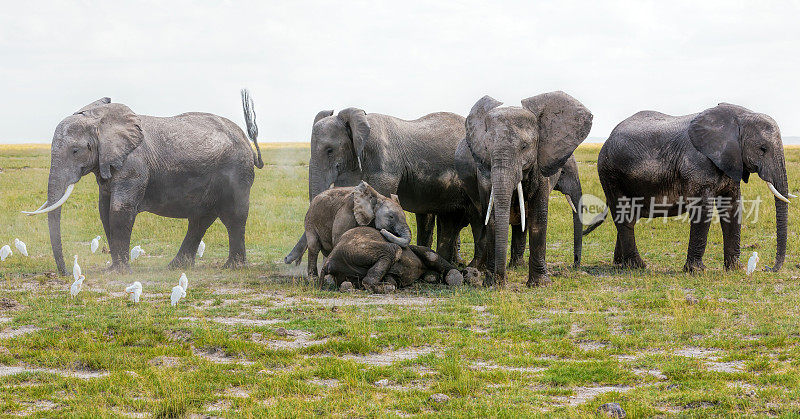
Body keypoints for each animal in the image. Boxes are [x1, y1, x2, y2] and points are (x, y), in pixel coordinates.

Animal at [21, 91, 264, 276]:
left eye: (75, 151)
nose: (64, 273)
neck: (101, 121)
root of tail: (246, 140)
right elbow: (104, 210)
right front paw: (113, 269)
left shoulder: (134, 165)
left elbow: (119, 209)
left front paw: (120, 273)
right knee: (200, 219)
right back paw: (176, 267)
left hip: (238, 170)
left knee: (233, 215)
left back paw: (232, 267)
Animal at [456, 92, 592, 288]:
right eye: (487, 148)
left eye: (525, 147)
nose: (501, 282)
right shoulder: (483, 172)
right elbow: (492, 218)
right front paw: (490, 283)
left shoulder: (540, 166)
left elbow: (538, 217)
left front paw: (540, 284)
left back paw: (514, 267)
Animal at [592, 102, 788, 272]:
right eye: (762, 149)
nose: (768, 268)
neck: (739, 117)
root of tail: (609, 137)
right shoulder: (697, 164)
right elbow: (703, 210)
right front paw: (697, 271)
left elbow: (732, 208)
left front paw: (735, 269)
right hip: (610, 172)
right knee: (625, 215)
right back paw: (637, 266)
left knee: (630, 216)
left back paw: (620, 264)